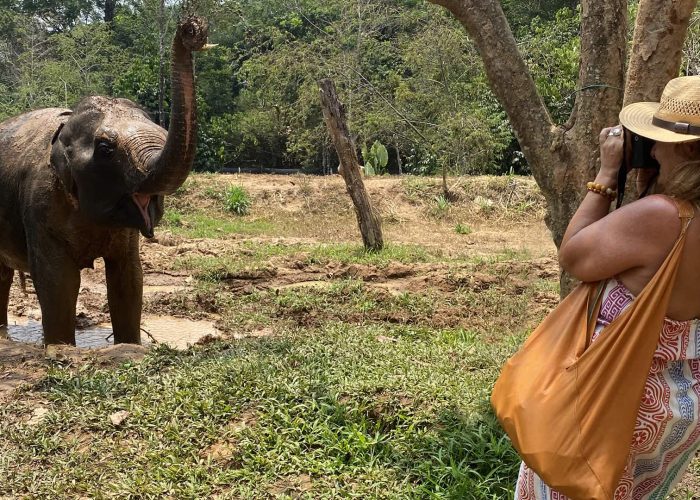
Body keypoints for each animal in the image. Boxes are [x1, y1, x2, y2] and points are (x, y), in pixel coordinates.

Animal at [0, 17, 211, 345]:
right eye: (105, 149)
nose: (191, 30)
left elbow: (129, 278)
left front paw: (130, 345)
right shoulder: (39, 204)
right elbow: (58, 282)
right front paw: (59, 347)